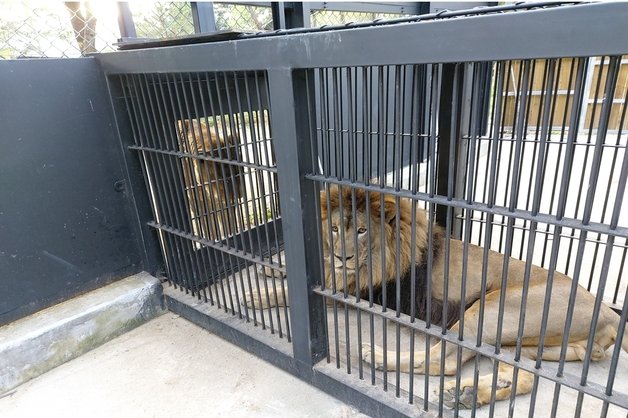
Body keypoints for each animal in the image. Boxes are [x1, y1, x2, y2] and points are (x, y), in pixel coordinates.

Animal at [244, 185, 628, 408]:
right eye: (336, 228)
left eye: (362, 230)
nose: (342, 256)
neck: (383, 252)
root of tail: (609, 313)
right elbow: (306, 269)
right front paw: (270, 267)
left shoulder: (355, 289)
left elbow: (299, 288)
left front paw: (255, 294)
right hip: (524, 345)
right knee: (522, 378)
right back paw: (467, 395)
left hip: (489, 309)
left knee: (442, 360)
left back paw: (378, 356)